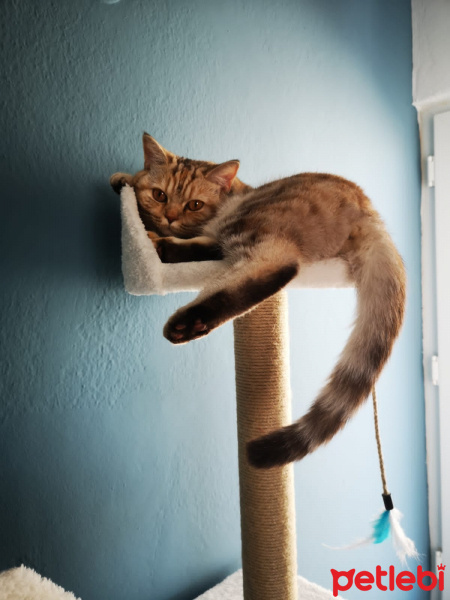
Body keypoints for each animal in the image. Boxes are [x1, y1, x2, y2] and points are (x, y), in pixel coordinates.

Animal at [110, 134, 406, 472]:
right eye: (160, 195)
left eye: (194, 204)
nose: (169, 217)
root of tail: (367, 208)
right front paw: (126, 184)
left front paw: (125, 184)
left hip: (255, 225)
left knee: (273, 268)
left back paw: (185, 317)